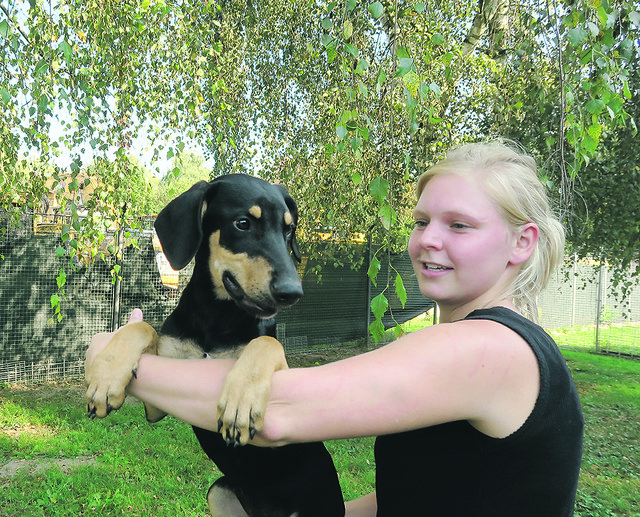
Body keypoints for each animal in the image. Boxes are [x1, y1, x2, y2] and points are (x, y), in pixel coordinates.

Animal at [86, 174, 344, 516]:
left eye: (288, 229)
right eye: (242, 223)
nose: (293, 292)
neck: (216, 316)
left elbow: (265, 342)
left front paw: (241, 400)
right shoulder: (158, 405)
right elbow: (142, 326)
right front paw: (107, 377)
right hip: (218, 492)